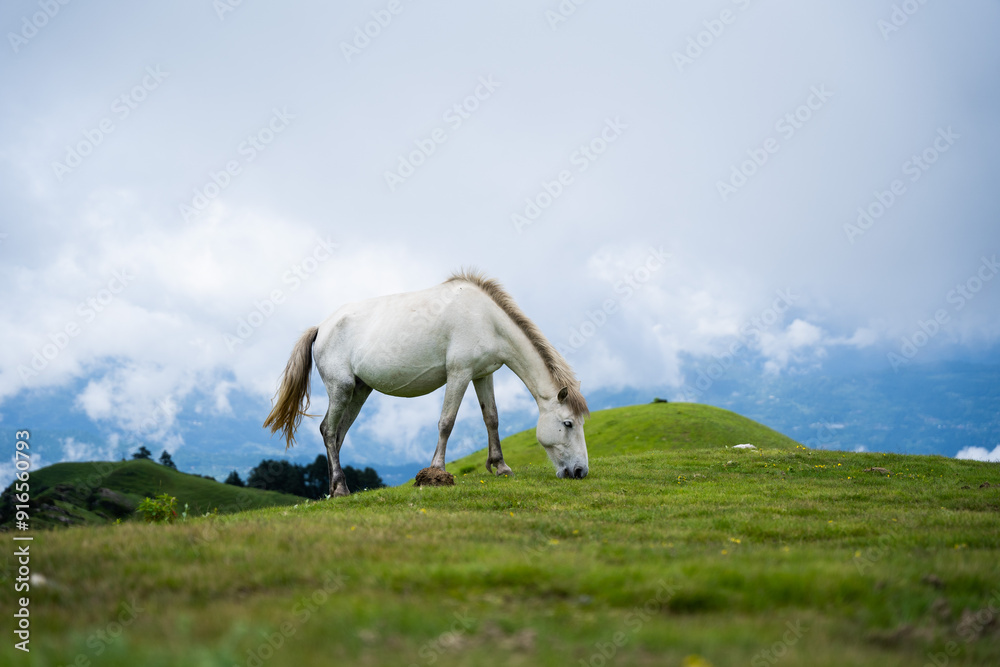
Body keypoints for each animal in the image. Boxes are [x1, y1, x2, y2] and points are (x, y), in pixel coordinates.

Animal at [263, 270, 590, 496]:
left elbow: (492, 418)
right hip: (341, 389)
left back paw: (334, 489)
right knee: (328, 431)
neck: (486, 318)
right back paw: (341, 489)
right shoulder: (459, 373)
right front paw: (437, 472)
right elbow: (446, 421)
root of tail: (322, 327)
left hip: (359, 391)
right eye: (568, 423)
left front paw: (500, 466)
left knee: (338, 434)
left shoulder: (483, 375)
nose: (580, 471)